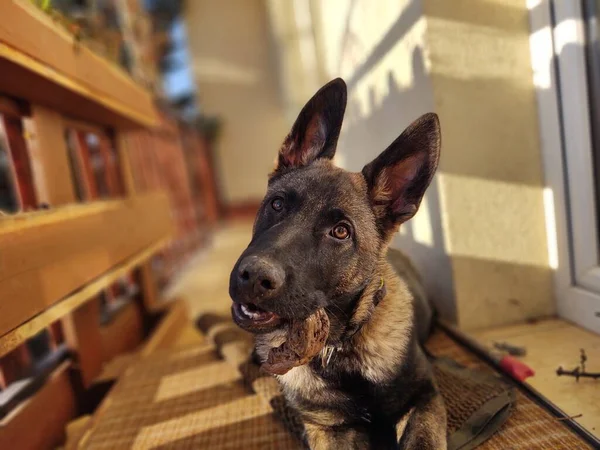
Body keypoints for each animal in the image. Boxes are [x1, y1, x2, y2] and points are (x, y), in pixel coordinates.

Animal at [230, 79, 446, 448]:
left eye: (341, 232)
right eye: (277, 204)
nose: (253, 276)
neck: (338, 348)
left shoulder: (426, 396)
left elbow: (422, 438)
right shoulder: (327, 427)